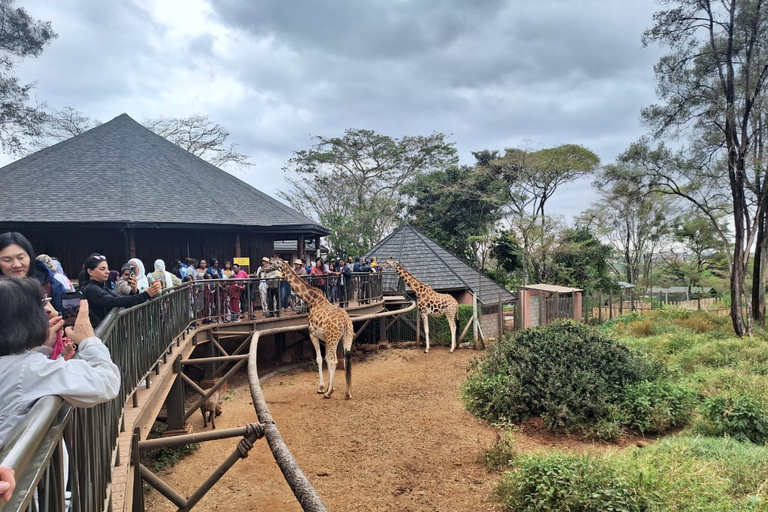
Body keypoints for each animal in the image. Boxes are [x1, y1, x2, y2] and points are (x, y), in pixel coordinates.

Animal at [278, 258, 356, 398]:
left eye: (271, 263)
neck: (312, 301)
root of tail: (345, 322)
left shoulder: (312, 334)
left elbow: (320, 359)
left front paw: (322, 388)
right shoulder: (324, 338)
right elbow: (326, 359)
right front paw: (329, 386)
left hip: (333, 338)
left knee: (335, 361)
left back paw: (328, 393)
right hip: (346, 336)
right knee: (347, 359)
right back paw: (348, 393)